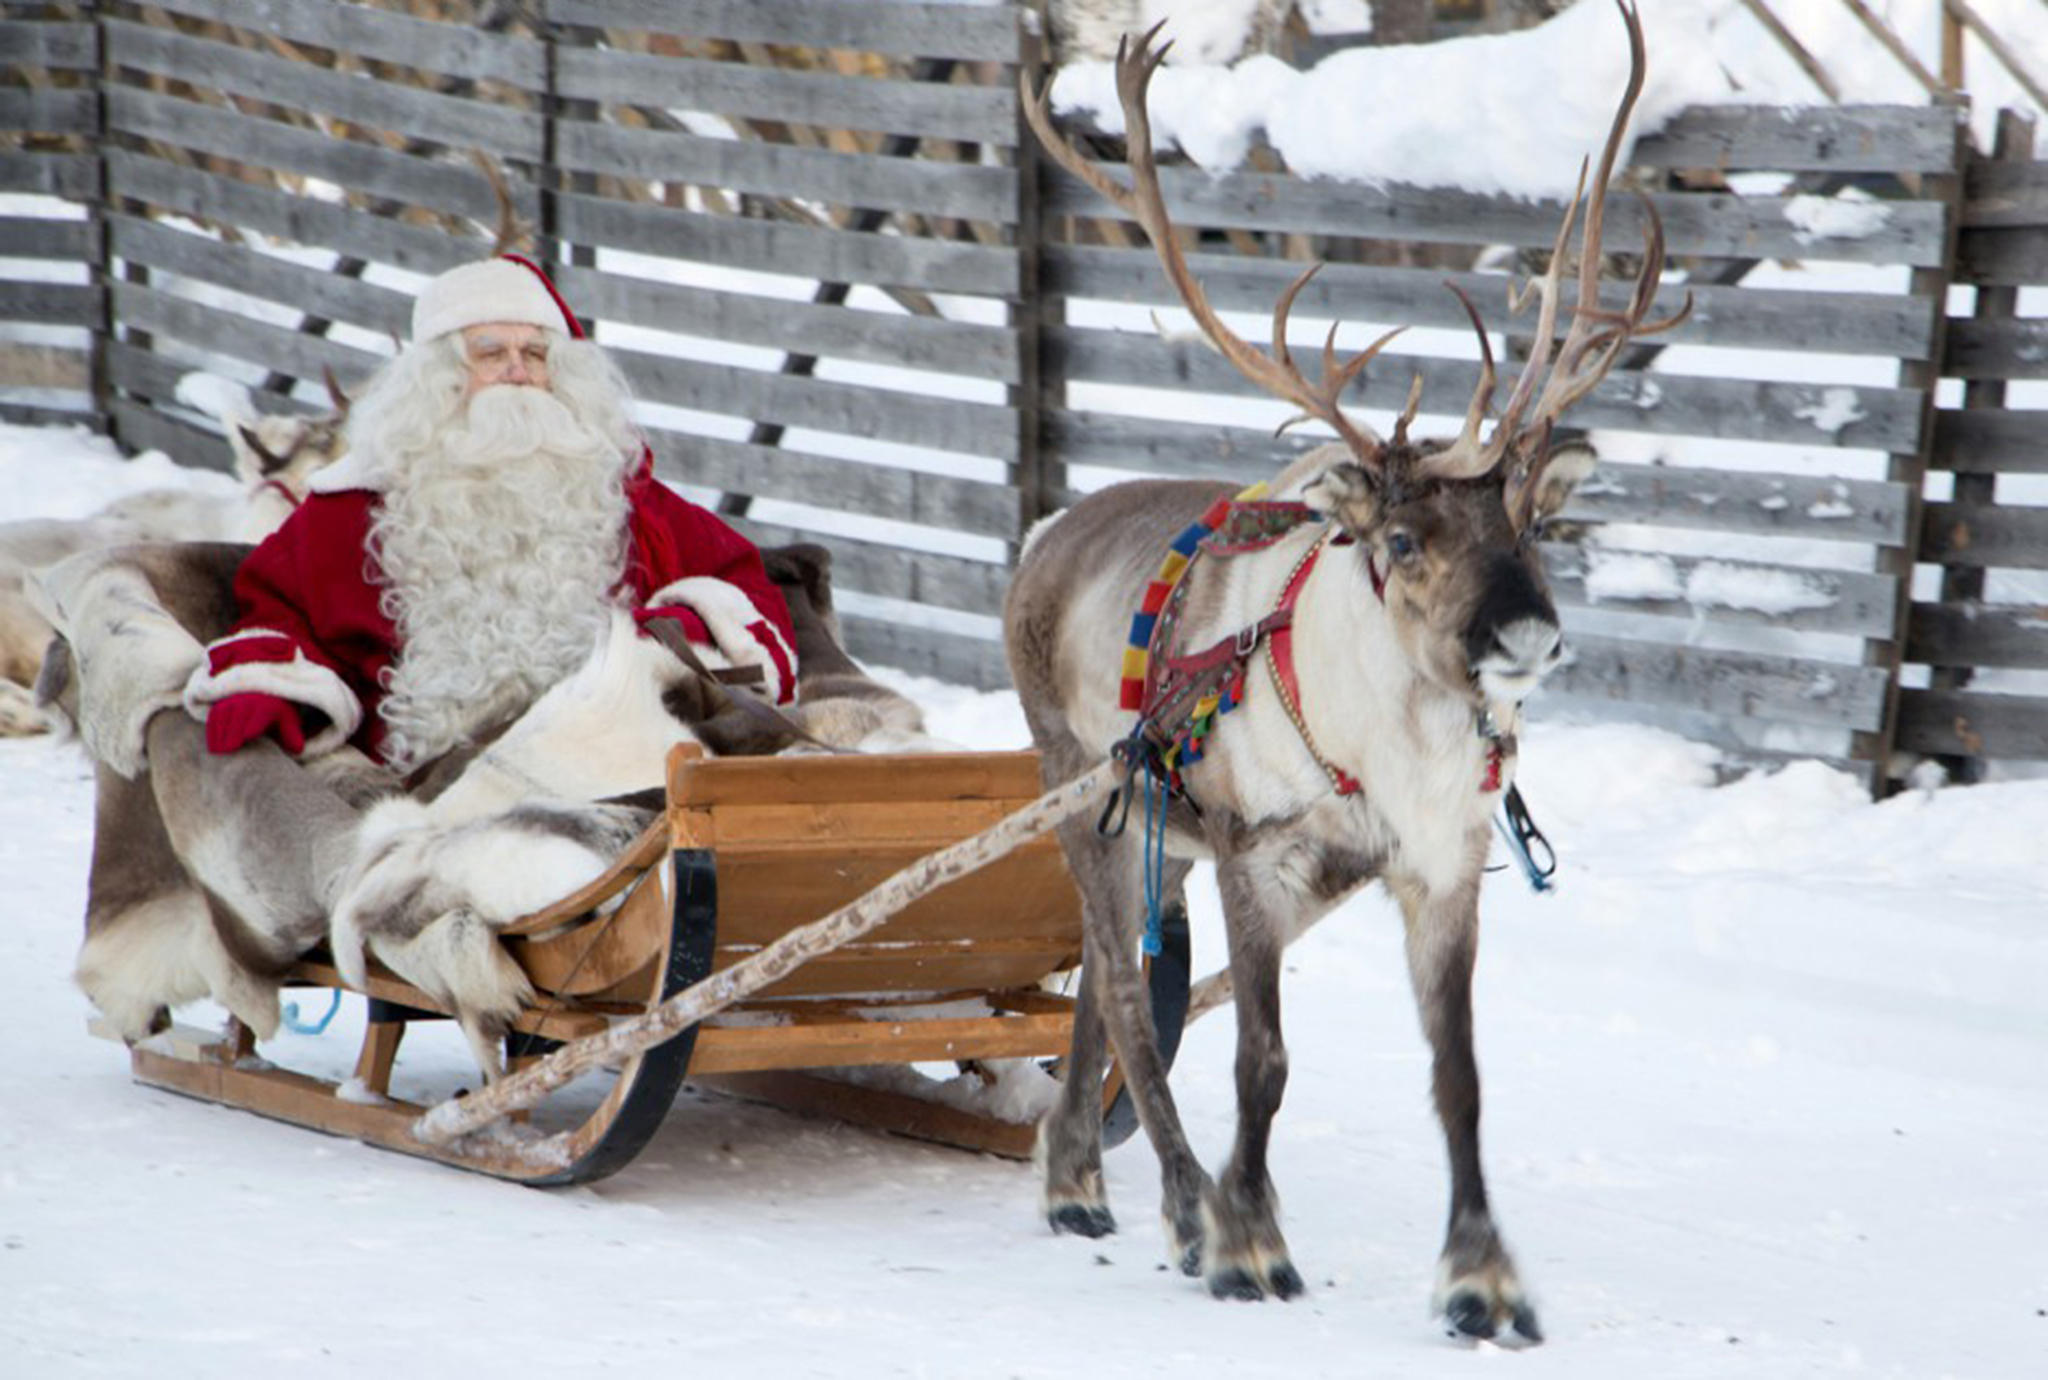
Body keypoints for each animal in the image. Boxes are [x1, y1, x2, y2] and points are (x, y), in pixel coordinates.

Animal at [1007, 0, 1686, 1343]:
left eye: (1534, 525)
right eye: (1404, 540)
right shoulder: (1254, 855)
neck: (1395, 752)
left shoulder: (1440, 870)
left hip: (1150, 830)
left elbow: (1458, 1075)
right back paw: (1178, 1207)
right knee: (1122, 989)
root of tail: (1045, 533)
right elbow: (1258, 1058)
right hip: (1083, 792)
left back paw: (1072, 1179)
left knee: (1100, 982)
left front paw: (1481, 1280)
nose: (1527, 637)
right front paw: (1248, 1243)